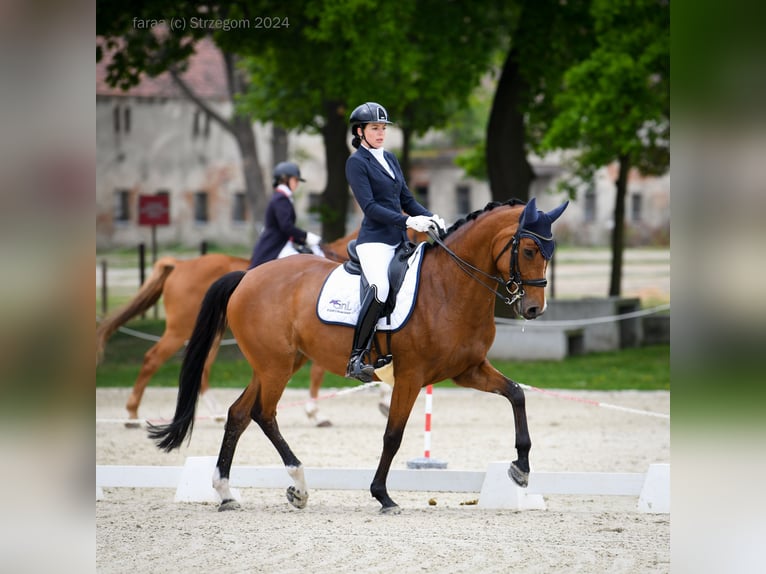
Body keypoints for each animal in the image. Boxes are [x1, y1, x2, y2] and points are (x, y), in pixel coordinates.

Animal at [96, 230, 376, 426]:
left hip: (214, 334)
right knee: (152, 359)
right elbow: (319, 373)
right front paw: (315, 414)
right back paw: (132, 414)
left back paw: (215, 413)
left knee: (202, 368)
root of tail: (179, 263)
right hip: (181, 331)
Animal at [148, 198, 568, 513]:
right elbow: (393, 435)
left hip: (275, 364)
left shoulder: (469, 370)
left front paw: (520, 469)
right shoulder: (411, 377)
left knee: (239, 414)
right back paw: (298, 484)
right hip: (276, 366)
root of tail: (247, 276)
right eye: (529, 249)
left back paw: (226, 491)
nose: (534, 309)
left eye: (549, 251)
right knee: (262, 414)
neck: (450, 286)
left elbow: (516, 393)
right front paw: (382, 495)